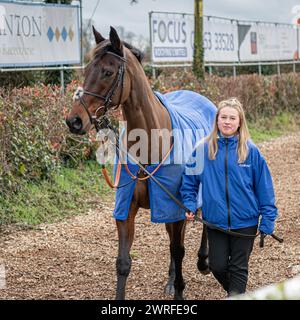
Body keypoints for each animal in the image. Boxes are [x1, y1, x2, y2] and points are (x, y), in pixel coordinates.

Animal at [65, 25, 216, 300]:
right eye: (87, 69)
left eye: (107, 71)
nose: (75, 120)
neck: (150, 142)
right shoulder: (129, 208)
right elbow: (124, 262)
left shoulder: (175, 205)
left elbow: (178, 250)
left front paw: (181, 290)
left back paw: (203, 261)